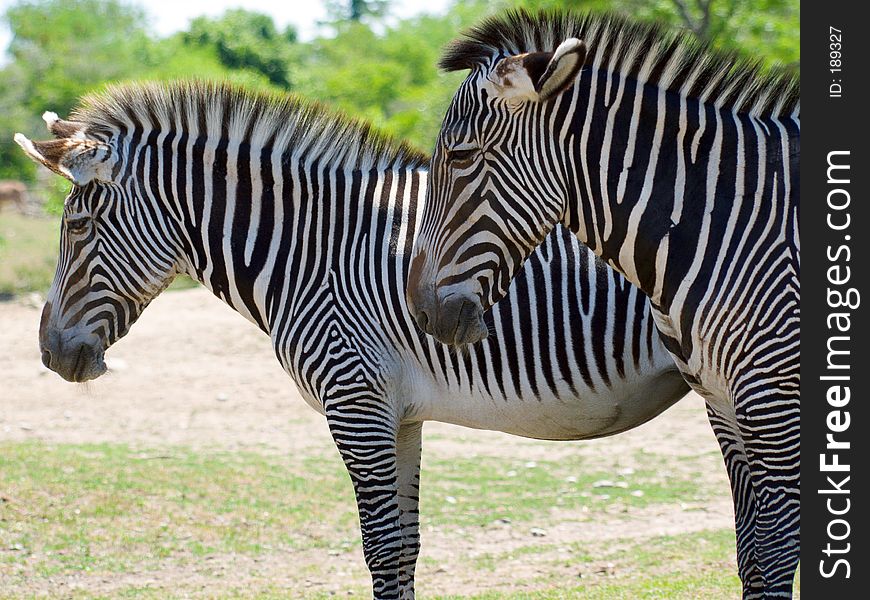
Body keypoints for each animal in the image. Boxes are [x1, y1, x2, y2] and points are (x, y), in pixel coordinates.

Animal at [13, 81, 692, 600]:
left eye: (77, 225)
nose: (47, 353)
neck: (311, 252)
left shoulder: (354, 400)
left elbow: (382, 548)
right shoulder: (400, 414)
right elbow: (407, 545)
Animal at [408, 10, 804, 600]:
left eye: (461, 156)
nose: (423, 311)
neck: (731, 221)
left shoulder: (774, 400)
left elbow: (776, 558)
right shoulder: (724, 404)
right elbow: (752, 557)